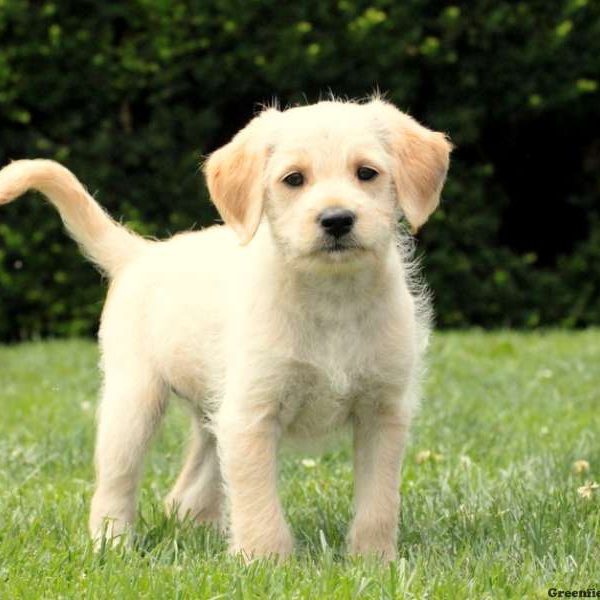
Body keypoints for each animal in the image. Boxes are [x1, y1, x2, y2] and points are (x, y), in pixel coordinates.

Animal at [0, 96, 450, 560]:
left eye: (366, 173)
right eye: (294, 179)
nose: (337, 220)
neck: (332, 298)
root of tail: (142, 253)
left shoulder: (382, 413)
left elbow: (379, 503)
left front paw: (375, 561)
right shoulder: (250, 415)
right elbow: (258, 503)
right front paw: (266, 563)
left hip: (211, 415)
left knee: (185, 493)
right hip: (133, 402)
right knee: (116, 485)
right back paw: (113, 545)